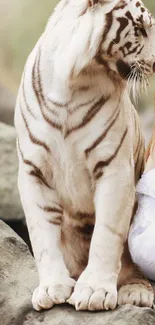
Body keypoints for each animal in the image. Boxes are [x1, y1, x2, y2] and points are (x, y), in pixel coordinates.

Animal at [14, 0, 155, 310]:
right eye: (140, 29)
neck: (74, 82)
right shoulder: (33, 171)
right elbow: (42, 235)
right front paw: (52, 287)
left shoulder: (114, 167)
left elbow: (107, 233)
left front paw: (94, 292)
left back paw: (137, 291)